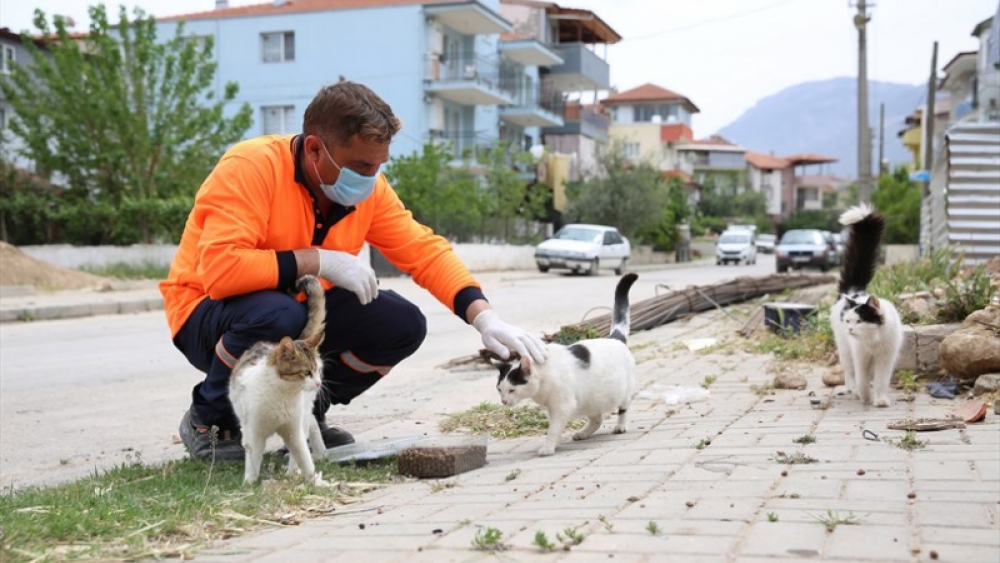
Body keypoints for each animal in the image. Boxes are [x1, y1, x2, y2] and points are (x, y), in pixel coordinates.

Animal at [229, 276, 326, 482]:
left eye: (318, 371)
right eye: (306, 372)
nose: (318, 383)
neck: (282, 393)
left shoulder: (293, 428)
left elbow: (302, 454)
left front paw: (310, 478)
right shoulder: (253, 431)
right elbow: (253, 458)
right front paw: (250, 482)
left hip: (303, 412)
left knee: (309, 425)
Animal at [492, 274, 640, 458]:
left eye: (512, 390)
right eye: (500, 390)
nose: (504, 401)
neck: (543, 379)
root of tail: (615, 338)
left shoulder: (562, 406)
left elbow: (553, 429)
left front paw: (548, 447)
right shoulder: (552, 408)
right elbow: (555, 428)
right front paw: (555, 442)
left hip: (623, 392)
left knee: (623, 409)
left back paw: (620, 426)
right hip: (592, 399)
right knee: (597, 419)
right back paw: (583, 433)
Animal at [828, 205, 908, 408]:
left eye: (859, 321)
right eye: (849, 321)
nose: (850, 329)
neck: (873, 340)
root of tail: (855, 290)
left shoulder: (885, 359)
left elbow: (880, 381)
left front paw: (880, 400)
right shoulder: (861, 357)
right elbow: (862, 379)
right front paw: (864, 396)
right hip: (845, 349)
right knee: (850, 372)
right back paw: (852, 390)